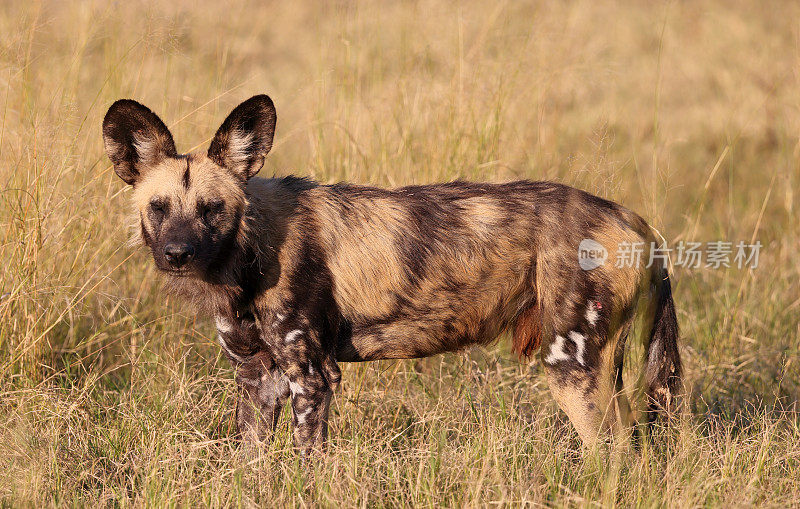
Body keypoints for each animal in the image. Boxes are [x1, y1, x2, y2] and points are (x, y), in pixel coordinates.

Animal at [103, 94, 680, 452]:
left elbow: (306, 466)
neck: (250, 252)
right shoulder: (257, 381)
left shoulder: (311, 379)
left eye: (212, 209)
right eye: (158, 207)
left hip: (573, 370)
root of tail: (634, 219)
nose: (177, 253)